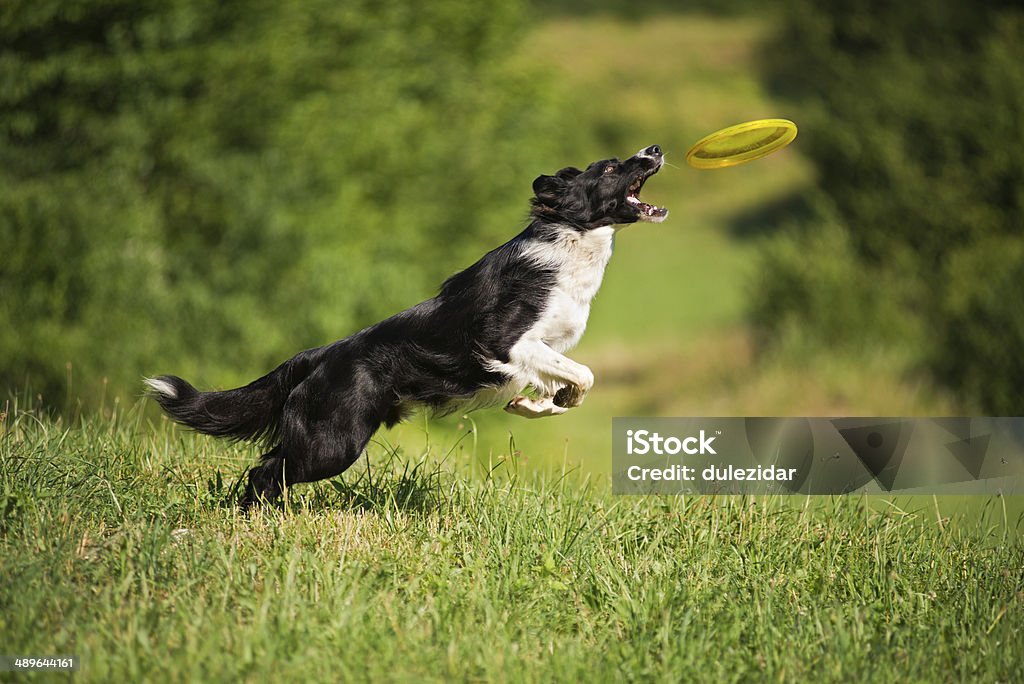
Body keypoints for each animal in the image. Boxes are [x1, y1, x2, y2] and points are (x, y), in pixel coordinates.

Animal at [148, 145, 667, 507]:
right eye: (609, 168)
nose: (656, 149)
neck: (571, 240)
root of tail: (319, 355)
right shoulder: (505, 342)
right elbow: (585, 374)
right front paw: (543, 400)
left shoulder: (548, 347)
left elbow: (568, 386)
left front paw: (534, 405)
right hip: (333, 442)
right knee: (267, 469)